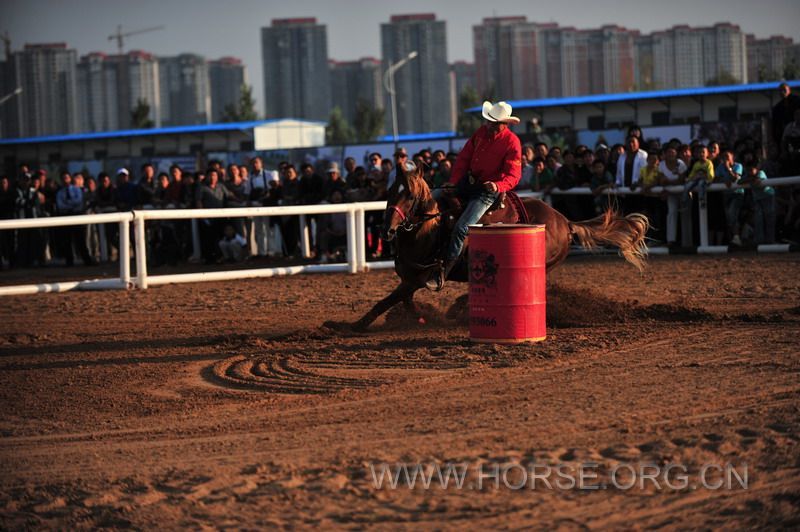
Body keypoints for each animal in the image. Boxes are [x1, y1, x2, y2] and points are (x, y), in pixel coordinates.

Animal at [346, 166, 648, 330]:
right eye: (391, 192)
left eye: (409, 196)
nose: (387, 230)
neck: (428, 227)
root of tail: (565, 222)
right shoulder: (408, 280)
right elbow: (404, 303)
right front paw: (423, 319)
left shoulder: (417, 279)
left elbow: (385, 302)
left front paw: (352, 327)